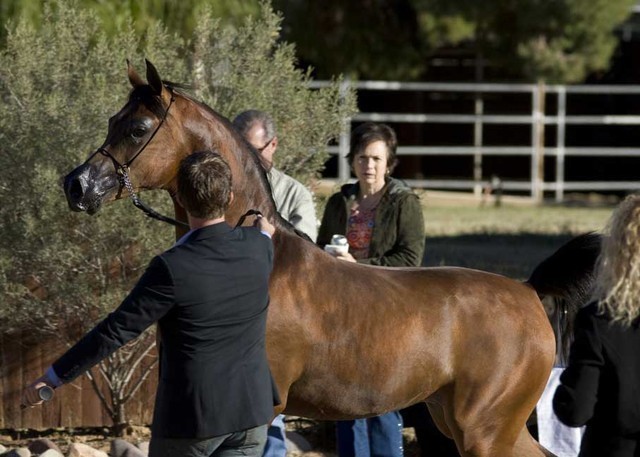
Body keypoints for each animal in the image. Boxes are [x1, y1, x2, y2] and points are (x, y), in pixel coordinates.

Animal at [62, 60, 597, 457]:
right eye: (113, 122)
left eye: (138, 128)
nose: (77, 185)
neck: (261, 255)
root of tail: (528, 291)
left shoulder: (261, 410)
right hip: (462, 421)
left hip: (487, 430)